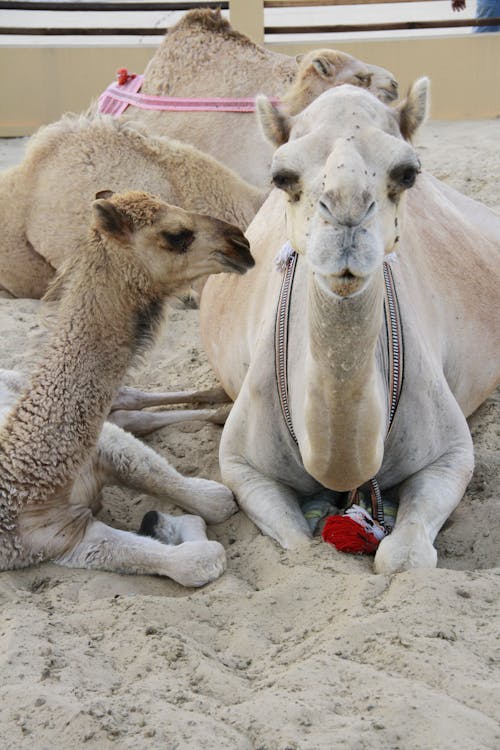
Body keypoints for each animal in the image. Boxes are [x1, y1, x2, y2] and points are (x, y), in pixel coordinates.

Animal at [0, 189, 254, 588]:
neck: (30, 478)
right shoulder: (59, 541)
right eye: (176, 234)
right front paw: (171, 527)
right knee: (129, 412)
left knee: (129, 403)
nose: (242, 243)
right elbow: (199, 552)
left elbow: (210, 497)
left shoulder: (103, 445)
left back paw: (220, 401)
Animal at [199, 82, 500, 572]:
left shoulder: (451, 456)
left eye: (407, 172)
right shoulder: (243, 466)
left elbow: (404, 557)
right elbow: (300, 547)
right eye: (281, 176)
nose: (346, 215)